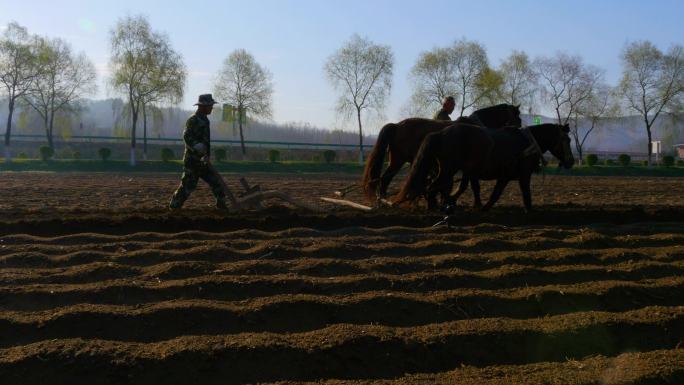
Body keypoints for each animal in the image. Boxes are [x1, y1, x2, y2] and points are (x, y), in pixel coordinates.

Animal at [360, 103, 520, 202]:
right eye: (517, 114)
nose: (519, 125)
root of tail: (397, 125)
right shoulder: (470, 167)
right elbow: (472, 186)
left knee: (385, 179)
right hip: (398, 160)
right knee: (385, 179)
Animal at [392, 123, 576, 212]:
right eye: (566, 139)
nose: (571, 161)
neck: (527, 142)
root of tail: (441, 133)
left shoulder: (504, 177)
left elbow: (495, 194)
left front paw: (483, 209)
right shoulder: (524, 175)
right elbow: (526, 196)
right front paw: (529, 213)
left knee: (434, 188)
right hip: (448, 170)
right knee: (432, 188)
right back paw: (434, 209)